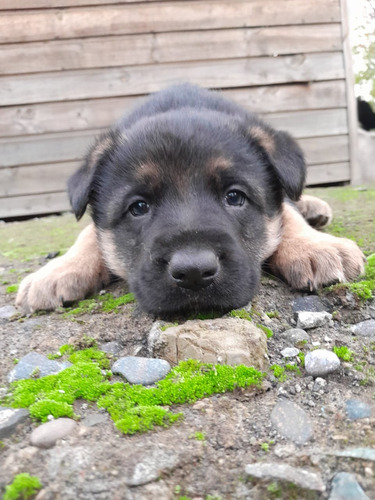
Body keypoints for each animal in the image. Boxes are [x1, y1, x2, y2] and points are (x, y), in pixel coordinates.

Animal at [16, 84, 366, 314]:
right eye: (138, 207)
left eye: (235, 197)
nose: (194, 272)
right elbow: (89, 231)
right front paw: (59, 270)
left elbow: (286, 212)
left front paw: (314, 246)